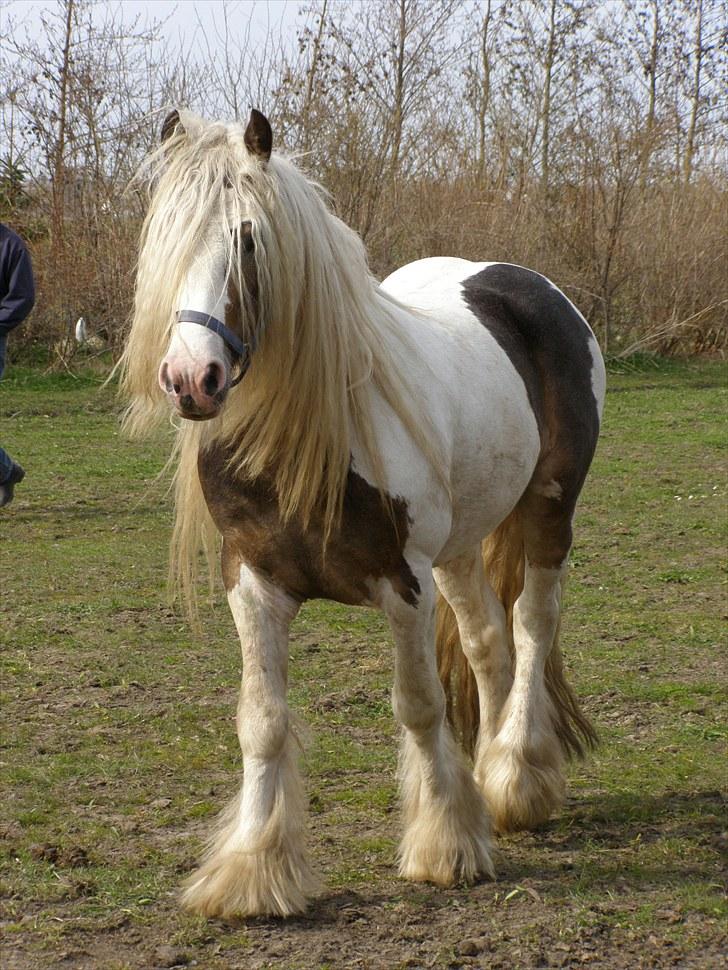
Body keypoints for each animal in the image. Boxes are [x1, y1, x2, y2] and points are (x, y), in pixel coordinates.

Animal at [119, 109, 604, 920]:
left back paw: (517, 775)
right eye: (164, 237)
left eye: (248, 239)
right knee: (487, 642)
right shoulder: (253, 584)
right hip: (459, 547)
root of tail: (521, 282)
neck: (304, 439)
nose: (192, 379)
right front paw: (254, 869)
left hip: (548, 511)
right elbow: (262, 722)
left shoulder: (401, 584)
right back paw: (496, 783)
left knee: (533, 625)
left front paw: (445, 845)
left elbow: (418, 705)